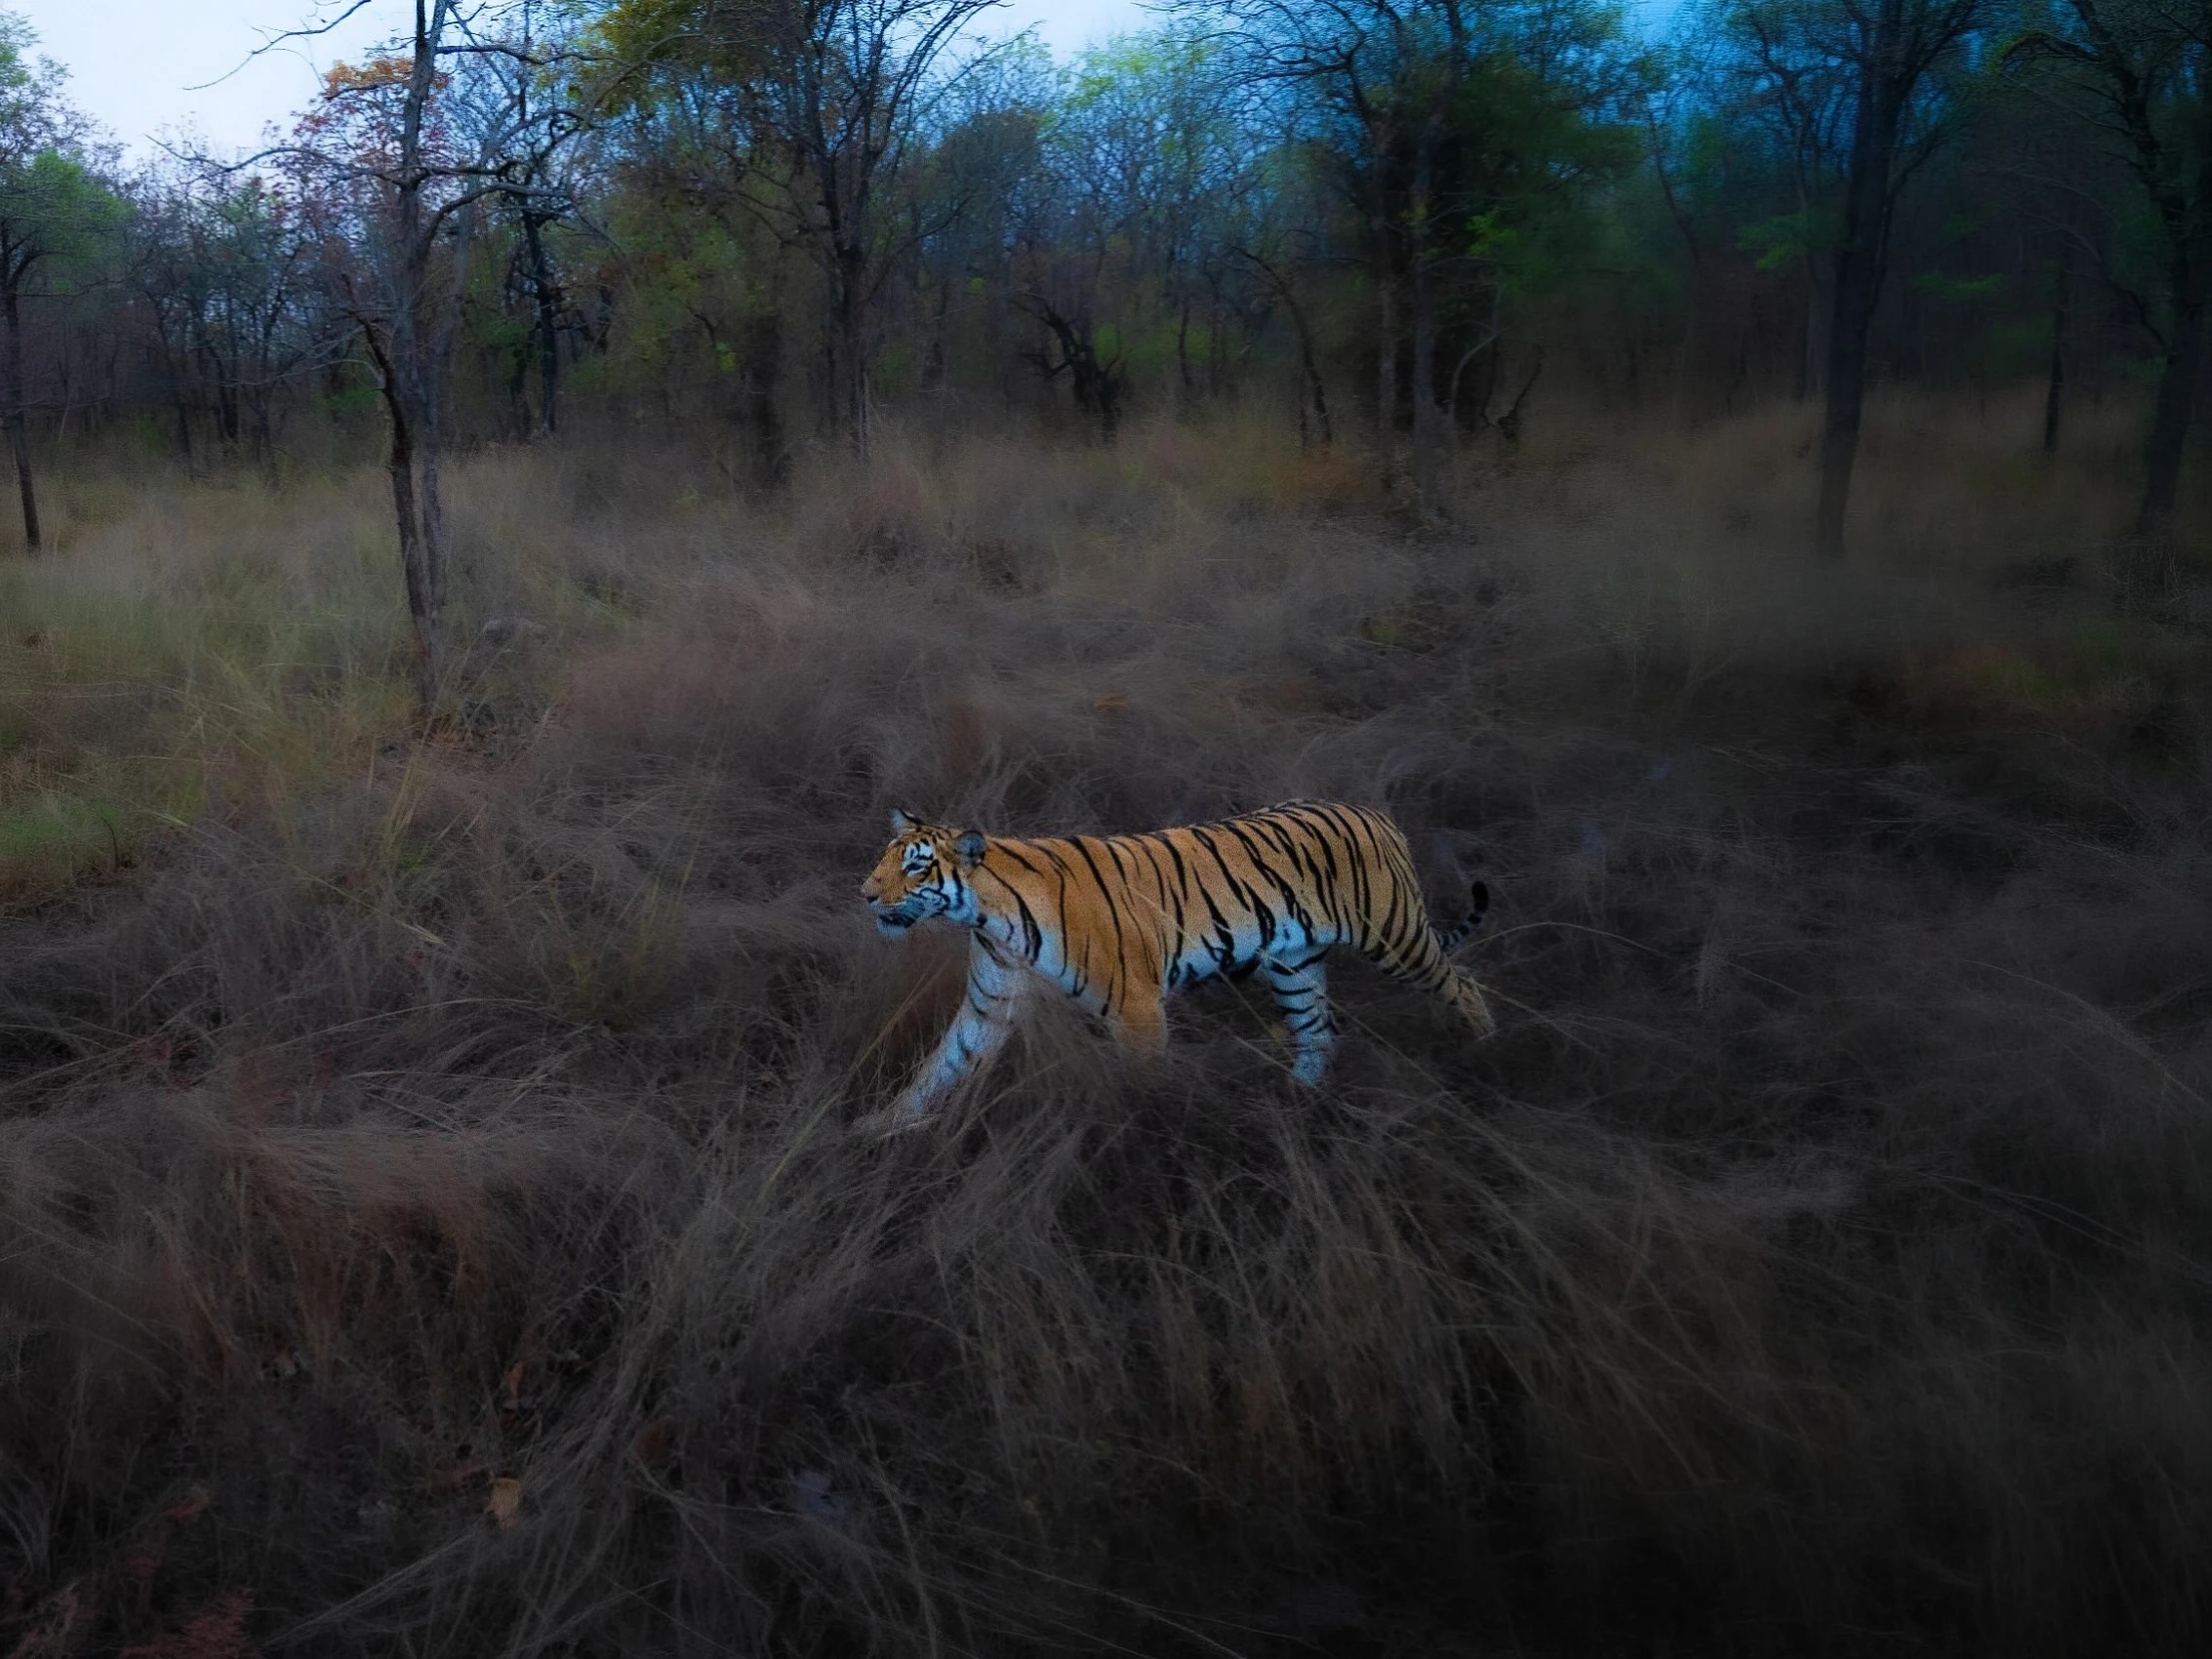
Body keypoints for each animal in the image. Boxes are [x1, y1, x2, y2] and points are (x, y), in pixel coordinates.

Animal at [856, 800, 1495, 1135]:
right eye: (883, 861)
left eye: (915, 868)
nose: (865, 895)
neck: (990, 919)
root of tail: (1376, 813)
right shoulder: (987, 1007)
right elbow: (939, 1069)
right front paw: (880, 1128)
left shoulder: (1136, 1008)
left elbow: (1142, 1084)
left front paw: (1148, 1138)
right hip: (1293, 966)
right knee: (1318, 1033)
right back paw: (1293, 1104)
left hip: (1395, 937)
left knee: (1463, 982)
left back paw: (1482, 1050)